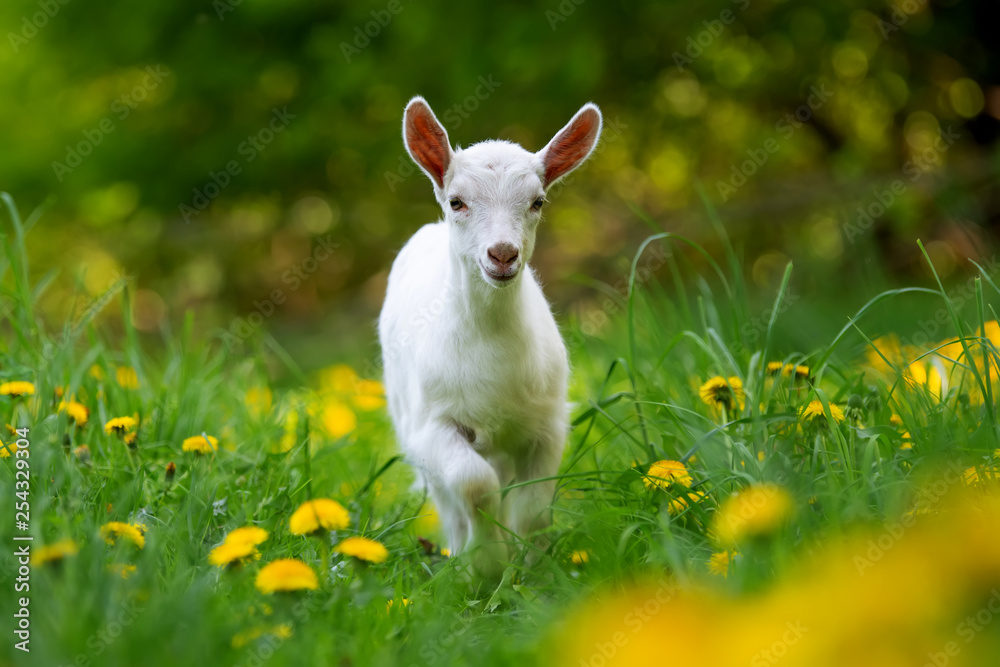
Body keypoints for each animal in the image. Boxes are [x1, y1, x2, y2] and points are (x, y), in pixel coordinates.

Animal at [380, 95, 600, 580]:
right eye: (456, 201)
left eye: (537, 201)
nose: (502, 254)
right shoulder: (432, 425)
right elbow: (474, 484)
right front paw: (487, 563)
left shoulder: (548, 423)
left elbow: (532, 505)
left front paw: (533, 567)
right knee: (451, 499)